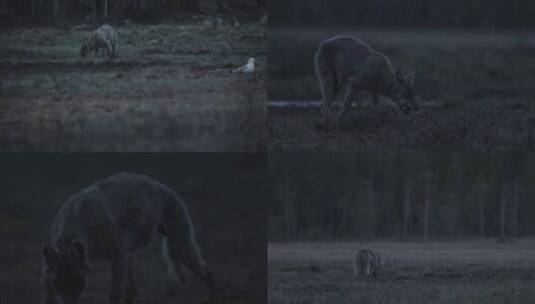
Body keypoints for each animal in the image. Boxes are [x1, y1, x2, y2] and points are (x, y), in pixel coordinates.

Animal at [39, 173, 214, 304]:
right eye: (57, 284)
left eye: (79, 282)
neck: (79, 218)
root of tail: (160, 185)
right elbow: (48, 293)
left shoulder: (119, 253)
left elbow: (114, 295)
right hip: (137, 255)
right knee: (132, 292)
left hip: (183, 250)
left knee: (208, 273)